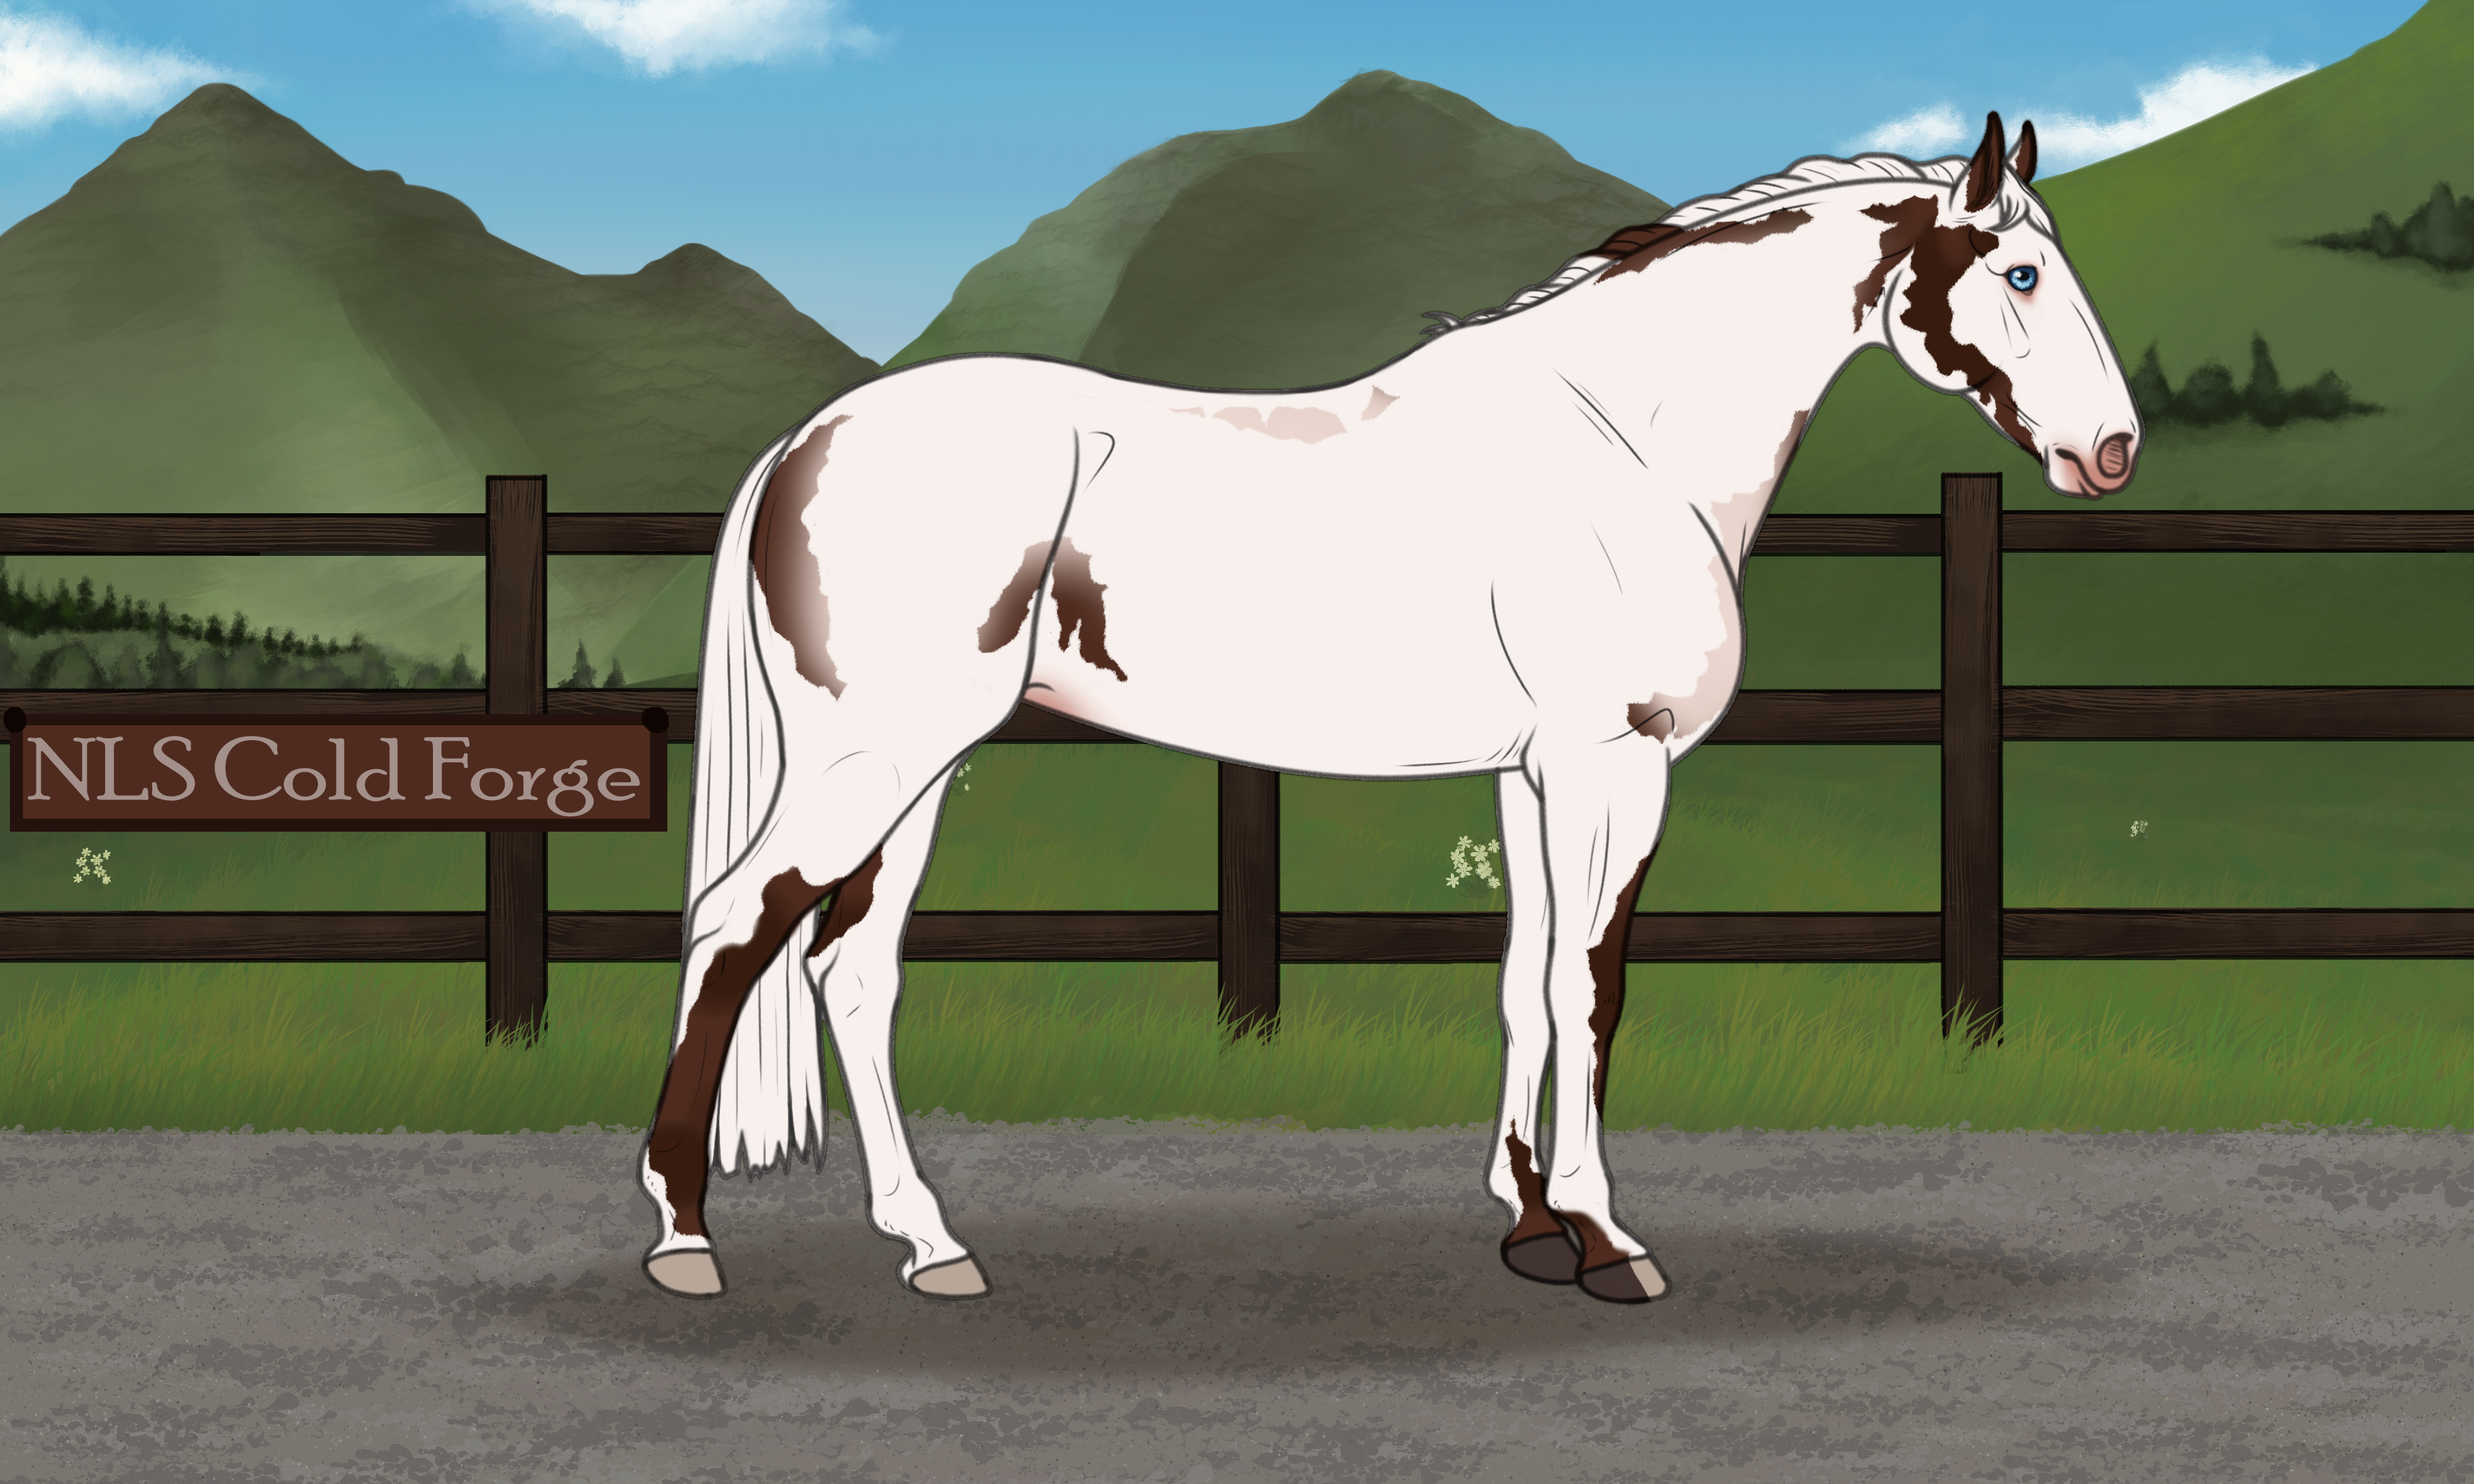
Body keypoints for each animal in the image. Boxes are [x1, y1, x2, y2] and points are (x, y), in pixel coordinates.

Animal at [636, 111, 2140, 1306]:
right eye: (2019, 271)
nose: (2113, 452)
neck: (1624, 440)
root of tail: (805, 440)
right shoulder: (1612, 765)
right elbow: (1588, 985)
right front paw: (1607, 1241)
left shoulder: (1531, 775)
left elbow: (1526, 982)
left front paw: (1529, 1228)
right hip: (873, 758)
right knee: (734, 924)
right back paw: (683, 1236)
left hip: (921, 768)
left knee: (850, 969)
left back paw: (932, 1246)